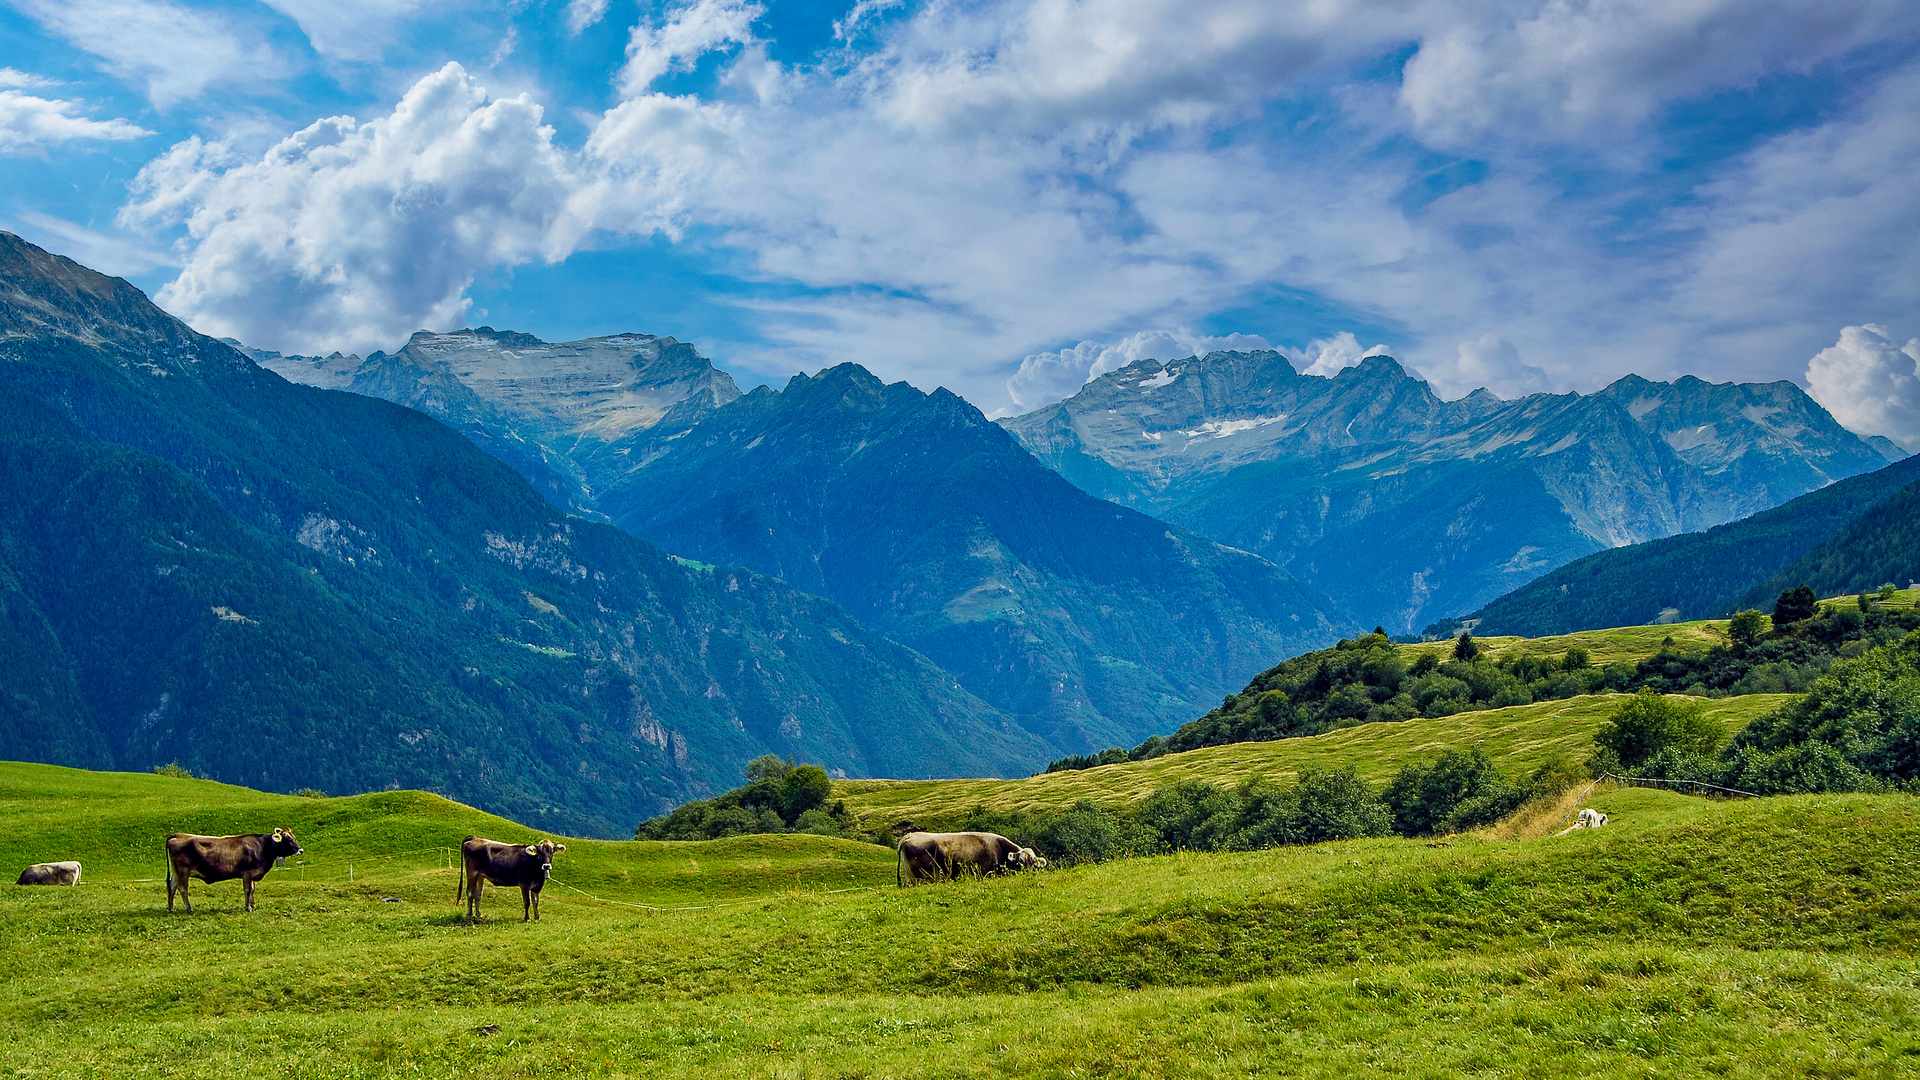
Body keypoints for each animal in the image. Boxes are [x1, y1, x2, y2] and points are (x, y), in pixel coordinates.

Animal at [165, 822, 305, 907]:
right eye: (288, 838)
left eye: (294, 837)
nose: (301, 850)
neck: (263, 847)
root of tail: (178, 835)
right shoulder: (247, 873)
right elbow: (248, 890)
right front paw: (248, 907)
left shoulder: (252, 874)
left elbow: (252, 889)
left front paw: (252, 905)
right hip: (183, 871)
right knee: (183, 889)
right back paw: (189, 909)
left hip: (176, 872)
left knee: (172, 886)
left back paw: (171, 909)